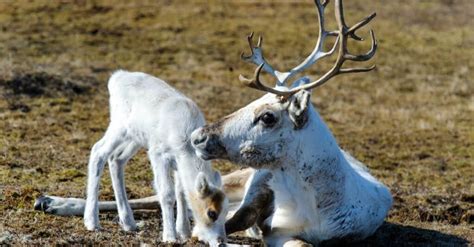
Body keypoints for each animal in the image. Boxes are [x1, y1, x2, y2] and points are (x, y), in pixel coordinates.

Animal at [36, 71, 229, 245]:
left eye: (227, 210)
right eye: (211, 213)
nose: (221, 241)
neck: (187, 146)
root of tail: (116, 77)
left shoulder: (177, 163)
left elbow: (181, 192)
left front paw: (184, 232)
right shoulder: (158, 153)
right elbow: (167, 193)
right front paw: (170, 237)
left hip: (135, 138)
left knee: (116, 159)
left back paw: (128, 222)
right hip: (119, 126)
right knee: (98, 151)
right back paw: (92, 222)